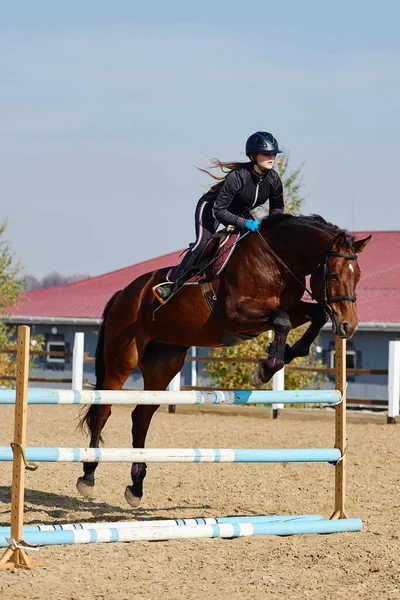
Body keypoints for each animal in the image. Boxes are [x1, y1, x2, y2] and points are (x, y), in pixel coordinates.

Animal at [77, 216, 372, 506]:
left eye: (357, 276)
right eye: (333, 275)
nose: (348, 326)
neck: (275, 260)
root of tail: (124, 293)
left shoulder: (292, 308)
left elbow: (314, 316)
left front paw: (276, 360)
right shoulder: (236, 314)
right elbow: (282, 320)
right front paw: (265, 370)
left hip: (164, 363)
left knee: (141, 416)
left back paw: (136, 487)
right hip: (123, 359)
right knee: (103, 410)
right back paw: (88, 476)